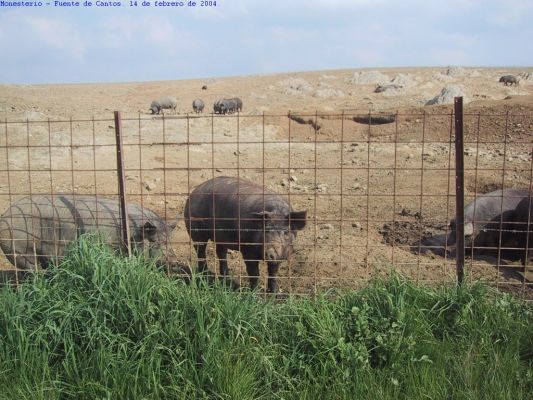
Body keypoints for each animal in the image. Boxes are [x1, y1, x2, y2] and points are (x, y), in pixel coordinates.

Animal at [0, 195, 179, 270]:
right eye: (153, 241)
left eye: (167, 242)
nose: (173, 260)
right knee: (31, 269)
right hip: (18, 249)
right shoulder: (107, 244)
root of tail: (4, 216)